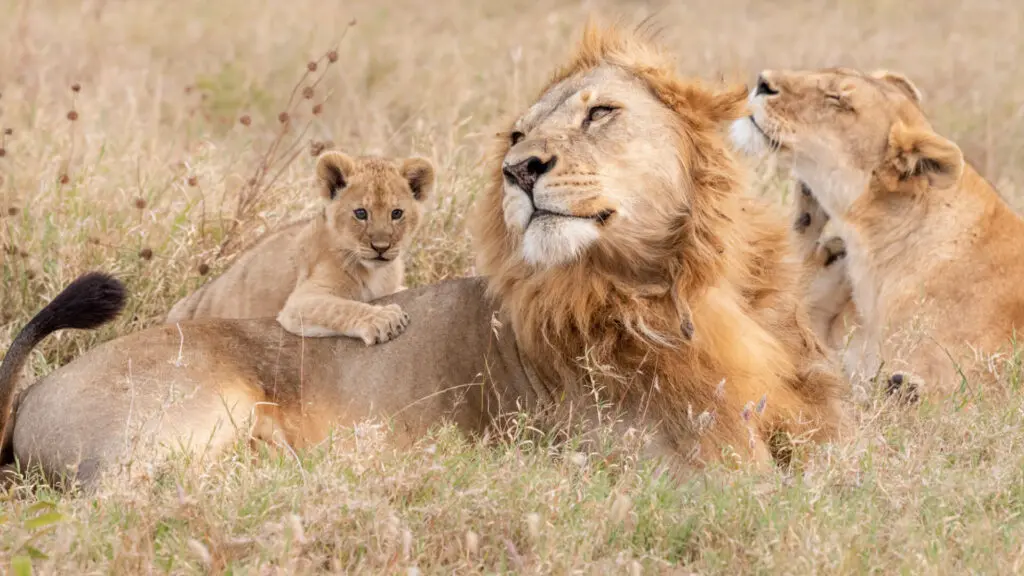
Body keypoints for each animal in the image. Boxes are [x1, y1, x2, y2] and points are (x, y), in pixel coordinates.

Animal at [166, 151, 435, 345]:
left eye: (396, 213)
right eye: (361, 213)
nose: (381, 247)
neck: (377, 271)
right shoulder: (299, 302)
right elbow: (341, 307)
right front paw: (385, 319)